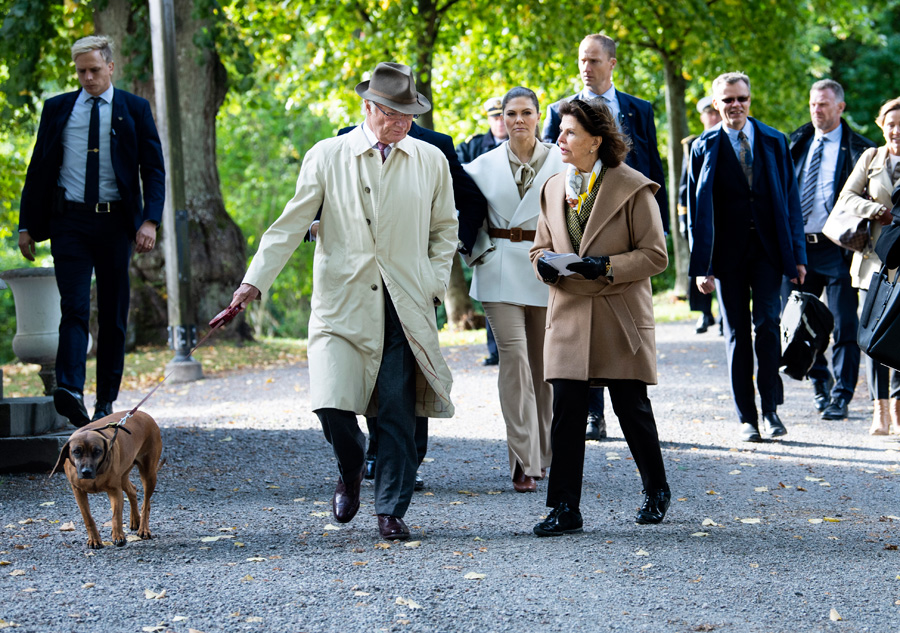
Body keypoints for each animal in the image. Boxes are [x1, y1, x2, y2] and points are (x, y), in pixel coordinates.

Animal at [51, 410, 163, 548]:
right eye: (76, 451)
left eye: (97, 451)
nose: (86, 472)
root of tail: (145, 414)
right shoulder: (78, 491)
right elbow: (87, 517)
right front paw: (94, 539)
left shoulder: (114, 490)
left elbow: (116, 516)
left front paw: (118, 536)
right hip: (123, 474)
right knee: (132, 490)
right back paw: (135, 520)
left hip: (149, 473)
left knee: (146, 504)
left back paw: (144, 529)